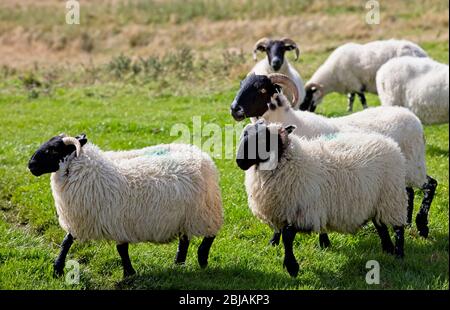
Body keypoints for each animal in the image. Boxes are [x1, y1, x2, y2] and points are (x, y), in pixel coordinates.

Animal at [28, 134, 223, 278]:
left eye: (53, 149)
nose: (30, 165)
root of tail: (200, 153)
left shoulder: (116, 220)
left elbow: (121, 249)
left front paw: (129, 273)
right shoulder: (82, 218)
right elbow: (66, 241)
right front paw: (57, 269)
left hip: (205, 212)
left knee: (210, 235)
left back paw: (202, 259)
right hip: (185, 216)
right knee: (184, 240)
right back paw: (179, 263)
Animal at [230, 72, 438, 245]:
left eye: (262, 89)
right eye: (242, 85)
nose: (234, 109)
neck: (293, 123)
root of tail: (411, 116)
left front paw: (324, 243)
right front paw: (274, 241)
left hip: (414, 165)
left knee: (430, 185)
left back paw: (422, 227)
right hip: (399, 172)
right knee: (409, 192)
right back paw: (408, 222)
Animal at [237, 120, 410, 276]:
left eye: (263, 140)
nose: (240, 162)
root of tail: (388, 141)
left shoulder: (302, 211)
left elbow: (287, 237)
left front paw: (292, 267)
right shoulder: (281, 210)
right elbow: (278, 231)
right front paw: (273, 244)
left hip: (392, 196)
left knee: (397, 227)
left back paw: (399, 254)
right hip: (377, 201)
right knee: (380, 225)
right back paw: (388, 249)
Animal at [300, 38, 428, 112]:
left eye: (307, 97)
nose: (301, 109)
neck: (332, 76)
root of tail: (421, 53)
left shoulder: (356, 84)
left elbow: (362, 99)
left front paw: (365, 110)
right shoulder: (351, 85)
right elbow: (351, 99)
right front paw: (349, 111)